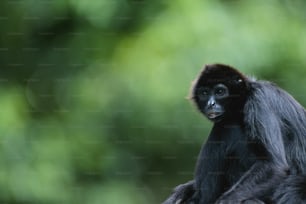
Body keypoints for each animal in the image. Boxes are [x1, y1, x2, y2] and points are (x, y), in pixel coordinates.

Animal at [164, 64, 306, 204]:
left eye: (220, 92)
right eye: (204, 93)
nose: (211, 104)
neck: (246, 96)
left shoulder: (259, 100)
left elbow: (273, 165)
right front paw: (185, 189)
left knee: (228, 126)